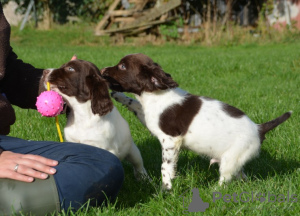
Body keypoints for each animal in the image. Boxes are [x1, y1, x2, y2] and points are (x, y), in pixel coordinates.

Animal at [99, 53, 292, 190]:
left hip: (231, 158)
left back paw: (213, 192)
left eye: (122, 66)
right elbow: (134, 104)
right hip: (237, 160)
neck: (155, 94)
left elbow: (165, 167)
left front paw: (165, 189)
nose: (102, 71)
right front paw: (119, 96)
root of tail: (259, 129)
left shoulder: (171, 140)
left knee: (225, 179)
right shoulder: (149, 116)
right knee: (241, 176)